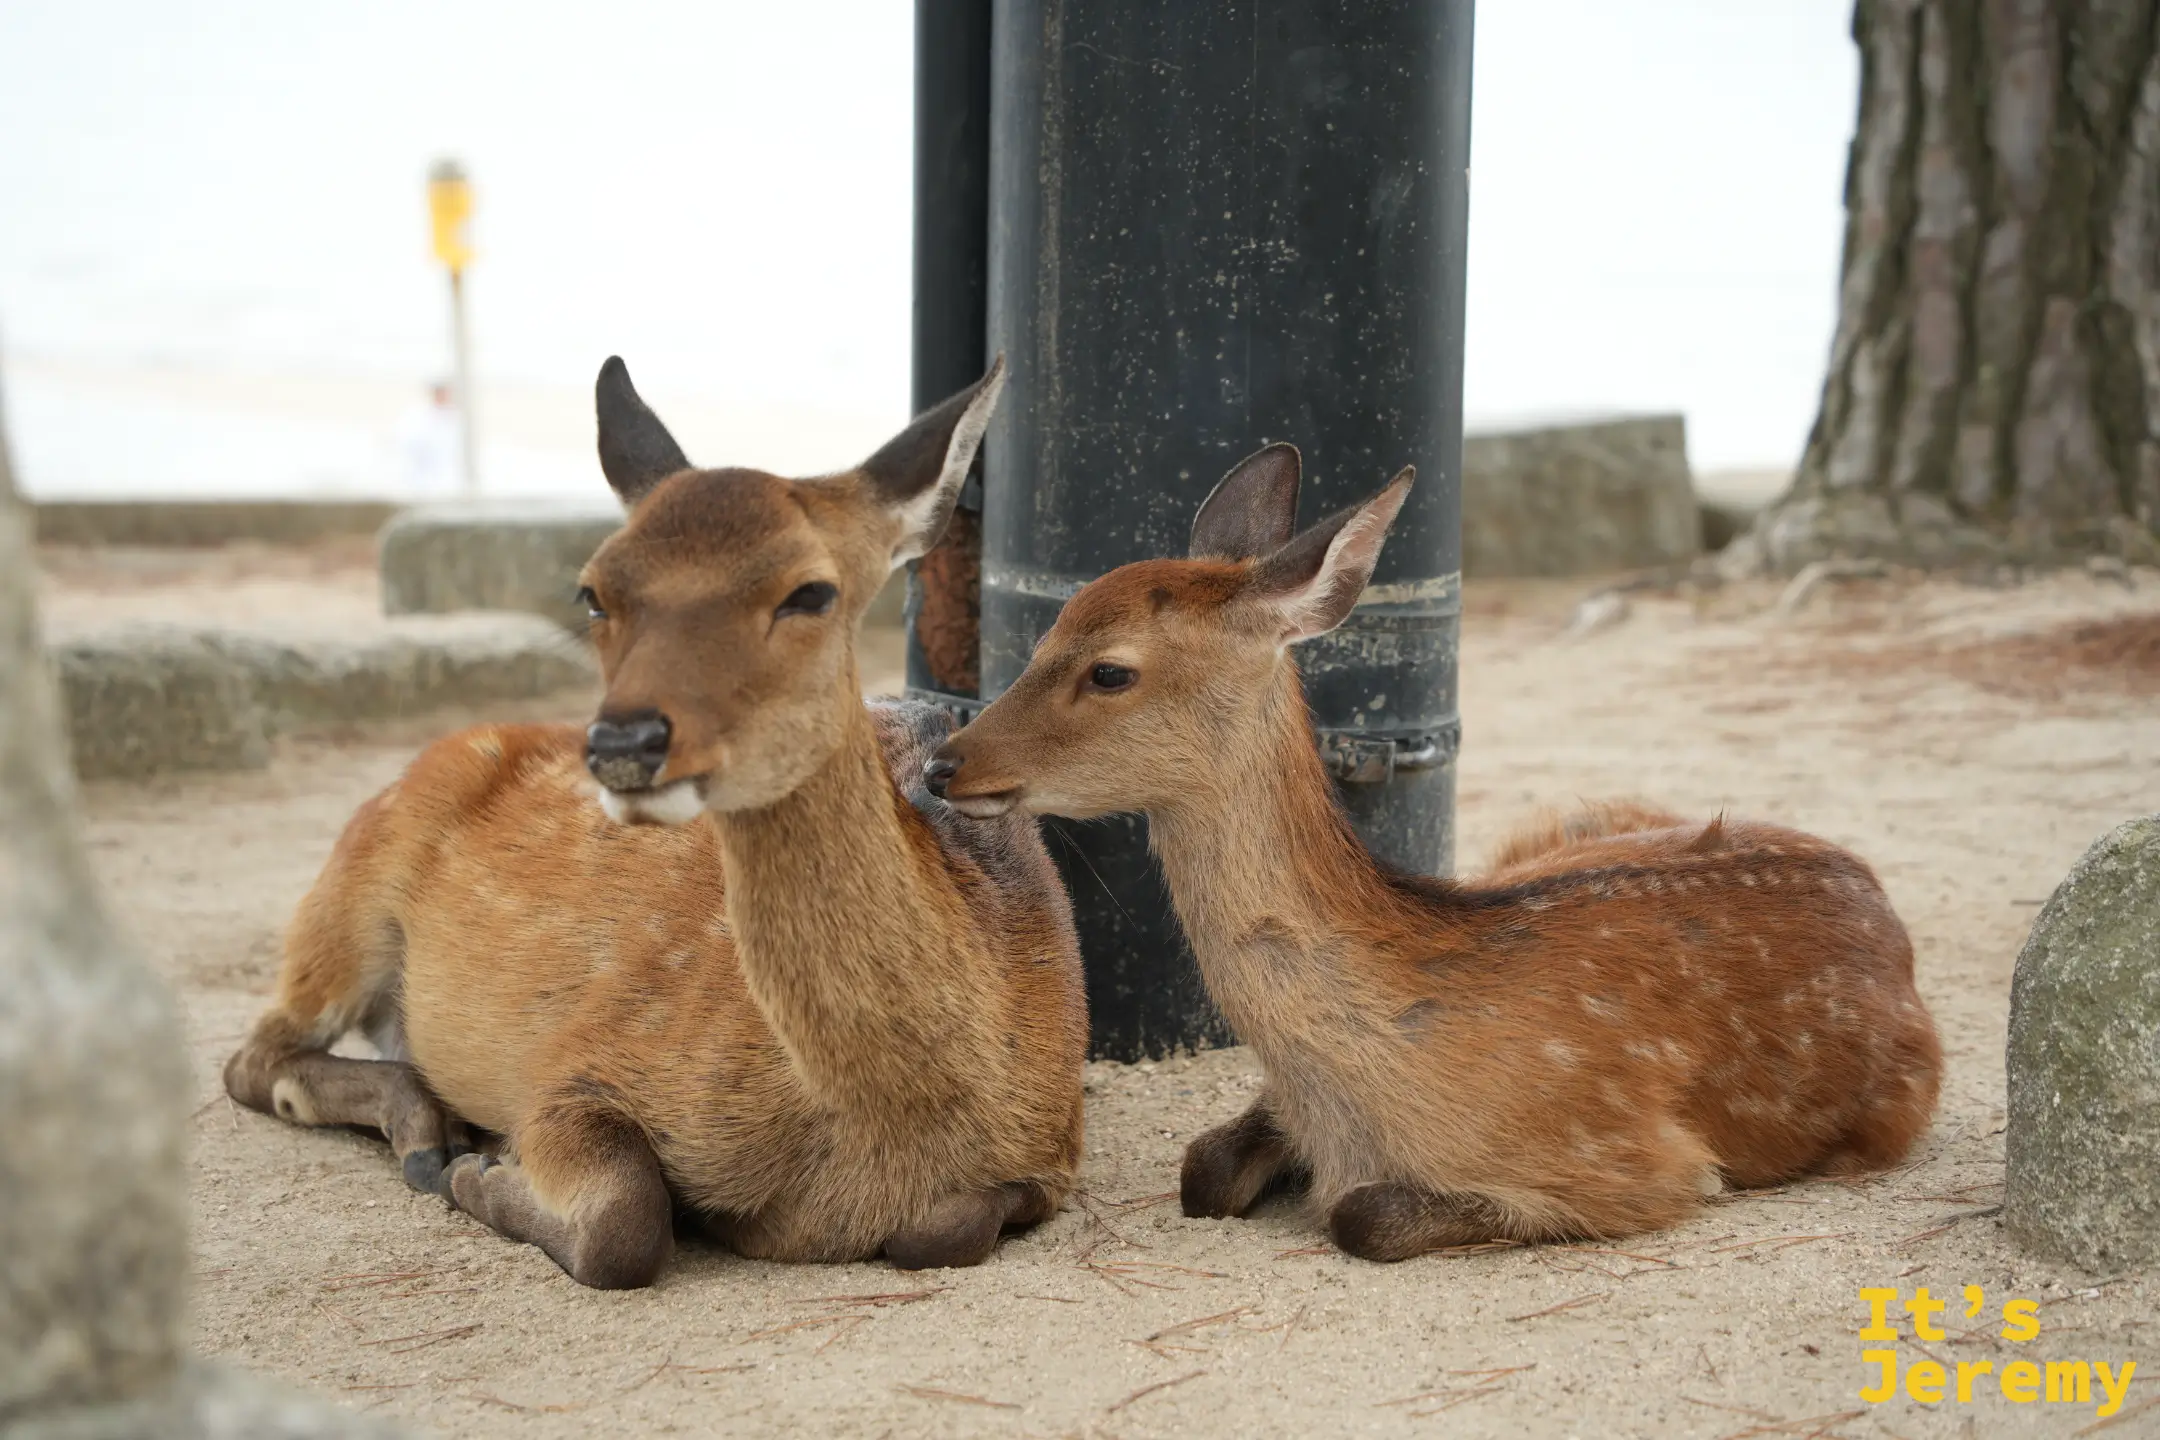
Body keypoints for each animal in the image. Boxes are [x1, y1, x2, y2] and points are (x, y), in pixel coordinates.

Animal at [222, 356, 1089, 1287]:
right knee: (251, 1056)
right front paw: (482, 1174)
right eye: (592, 592)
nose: (624, 740)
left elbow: (950, 1229)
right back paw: (427, 1133)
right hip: (347, 896)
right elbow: (626, 1219)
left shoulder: (1055, 1147)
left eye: (811, 591)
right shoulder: (572, 1065)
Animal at [923, 443, 1943, 1261]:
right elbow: (1204, 1168)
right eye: (1044, 633)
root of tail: (1883, 900)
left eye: (1111, 670)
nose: (944, 761)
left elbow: (1364, 1215)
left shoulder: (1636, 1160)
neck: (1370, 1088)